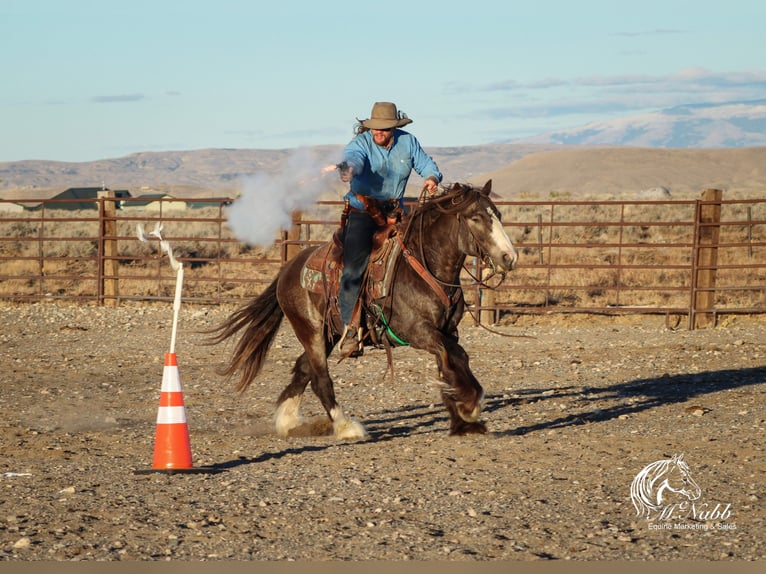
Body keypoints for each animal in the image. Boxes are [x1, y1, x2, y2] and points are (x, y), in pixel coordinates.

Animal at [210, 181, 520, 440]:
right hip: (310, 330)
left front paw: (462, 422)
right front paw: (471, 404)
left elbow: (450, 364)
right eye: (475, 217)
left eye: (498, 215)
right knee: (320, 378)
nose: (510, 257)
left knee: (303, 369)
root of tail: (289, 268)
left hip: (331, 333)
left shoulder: (446, 331)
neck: (423, 267)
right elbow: (457, 357)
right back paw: (346, 427)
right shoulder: (419, 331)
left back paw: (288, 422)